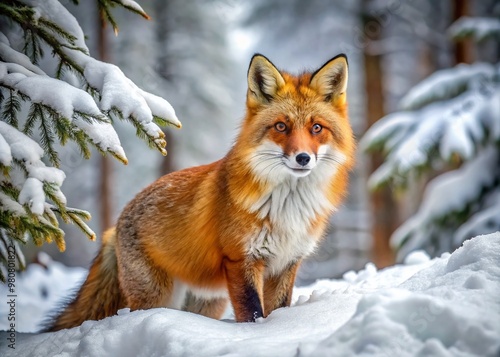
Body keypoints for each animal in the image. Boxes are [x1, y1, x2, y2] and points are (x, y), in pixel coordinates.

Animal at [48, 53, 356, 330]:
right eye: (281, 126)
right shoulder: (241, 260)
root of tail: (116, 225)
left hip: (208, 301)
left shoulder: (286, 263)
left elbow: (277, 309)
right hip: (157, 297)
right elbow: (253, 314)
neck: (287, 206)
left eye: (316, 128)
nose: (303, 158)